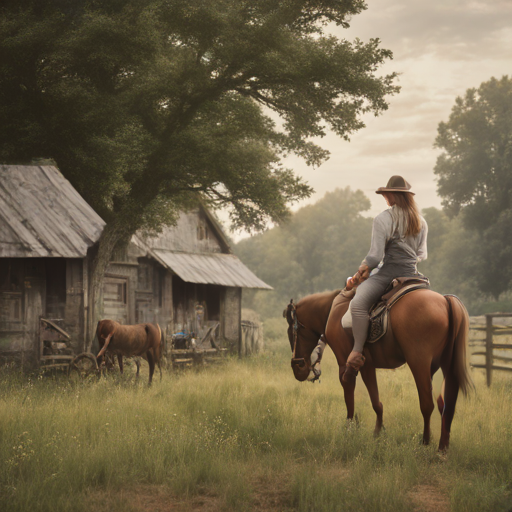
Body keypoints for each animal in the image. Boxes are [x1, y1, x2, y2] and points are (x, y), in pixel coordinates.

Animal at [284, 290, 472, 450]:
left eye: (292, 332)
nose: (298, 368)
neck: (332, 311)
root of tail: (445, 300)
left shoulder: (348, 365)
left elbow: (356, 398)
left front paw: (351, 429)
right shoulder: (367, 367)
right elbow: (377, 402)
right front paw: (378, 432)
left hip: (419, 364)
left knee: (427, 404)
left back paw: (425, 442)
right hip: (445, 367)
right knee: (446, 406)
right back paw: (442, 447)